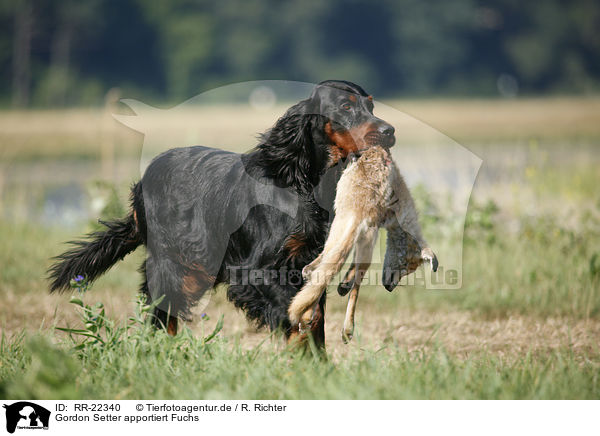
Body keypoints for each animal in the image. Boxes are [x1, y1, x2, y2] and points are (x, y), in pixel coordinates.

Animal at [47, 79, 394, 348]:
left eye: (371, 106)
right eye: (346, 107)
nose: (390, 130)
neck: (301, 181)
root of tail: (141, 185)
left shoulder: (308, 265)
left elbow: (314, 317)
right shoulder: (253, 271)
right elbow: (294, 314)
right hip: (170, 266)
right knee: (163, 317)